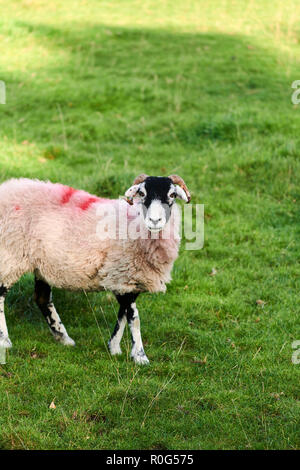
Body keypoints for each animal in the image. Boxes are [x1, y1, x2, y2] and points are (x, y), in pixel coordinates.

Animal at [0, 175, 191, 364]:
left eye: (172, 195)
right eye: (142, 193)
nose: (154, 221)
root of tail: (6, 188)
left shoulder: (125, 281)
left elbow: (123, 315)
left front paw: (114, 347)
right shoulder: (123, 276)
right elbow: (134, 317)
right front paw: (140, 355)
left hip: (41, 264)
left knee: (42, 298)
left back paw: (63, 338)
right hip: (11, 255)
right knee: (2, 293)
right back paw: (5, 340)